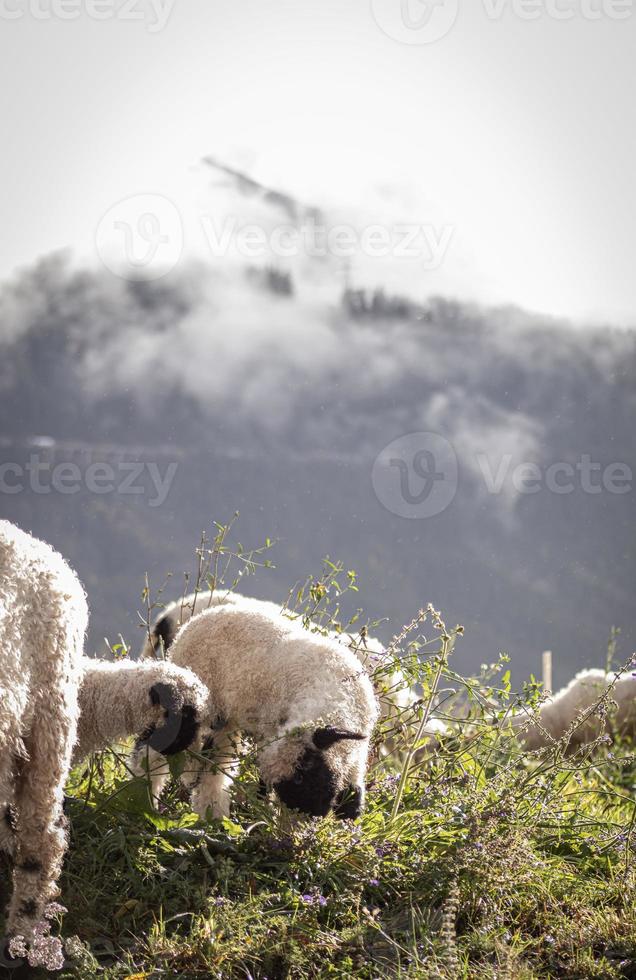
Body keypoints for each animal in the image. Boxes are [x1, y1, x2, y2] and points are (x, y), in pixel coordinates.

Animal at [135, 596, 380, 820]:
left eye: (303, 773)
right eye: (299, 777)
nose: (308, 815)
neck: (332, 690)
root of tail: (191, 625)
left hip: (225, 720)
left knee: (212, 768)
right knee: (155, 748)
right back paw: (144, 799)